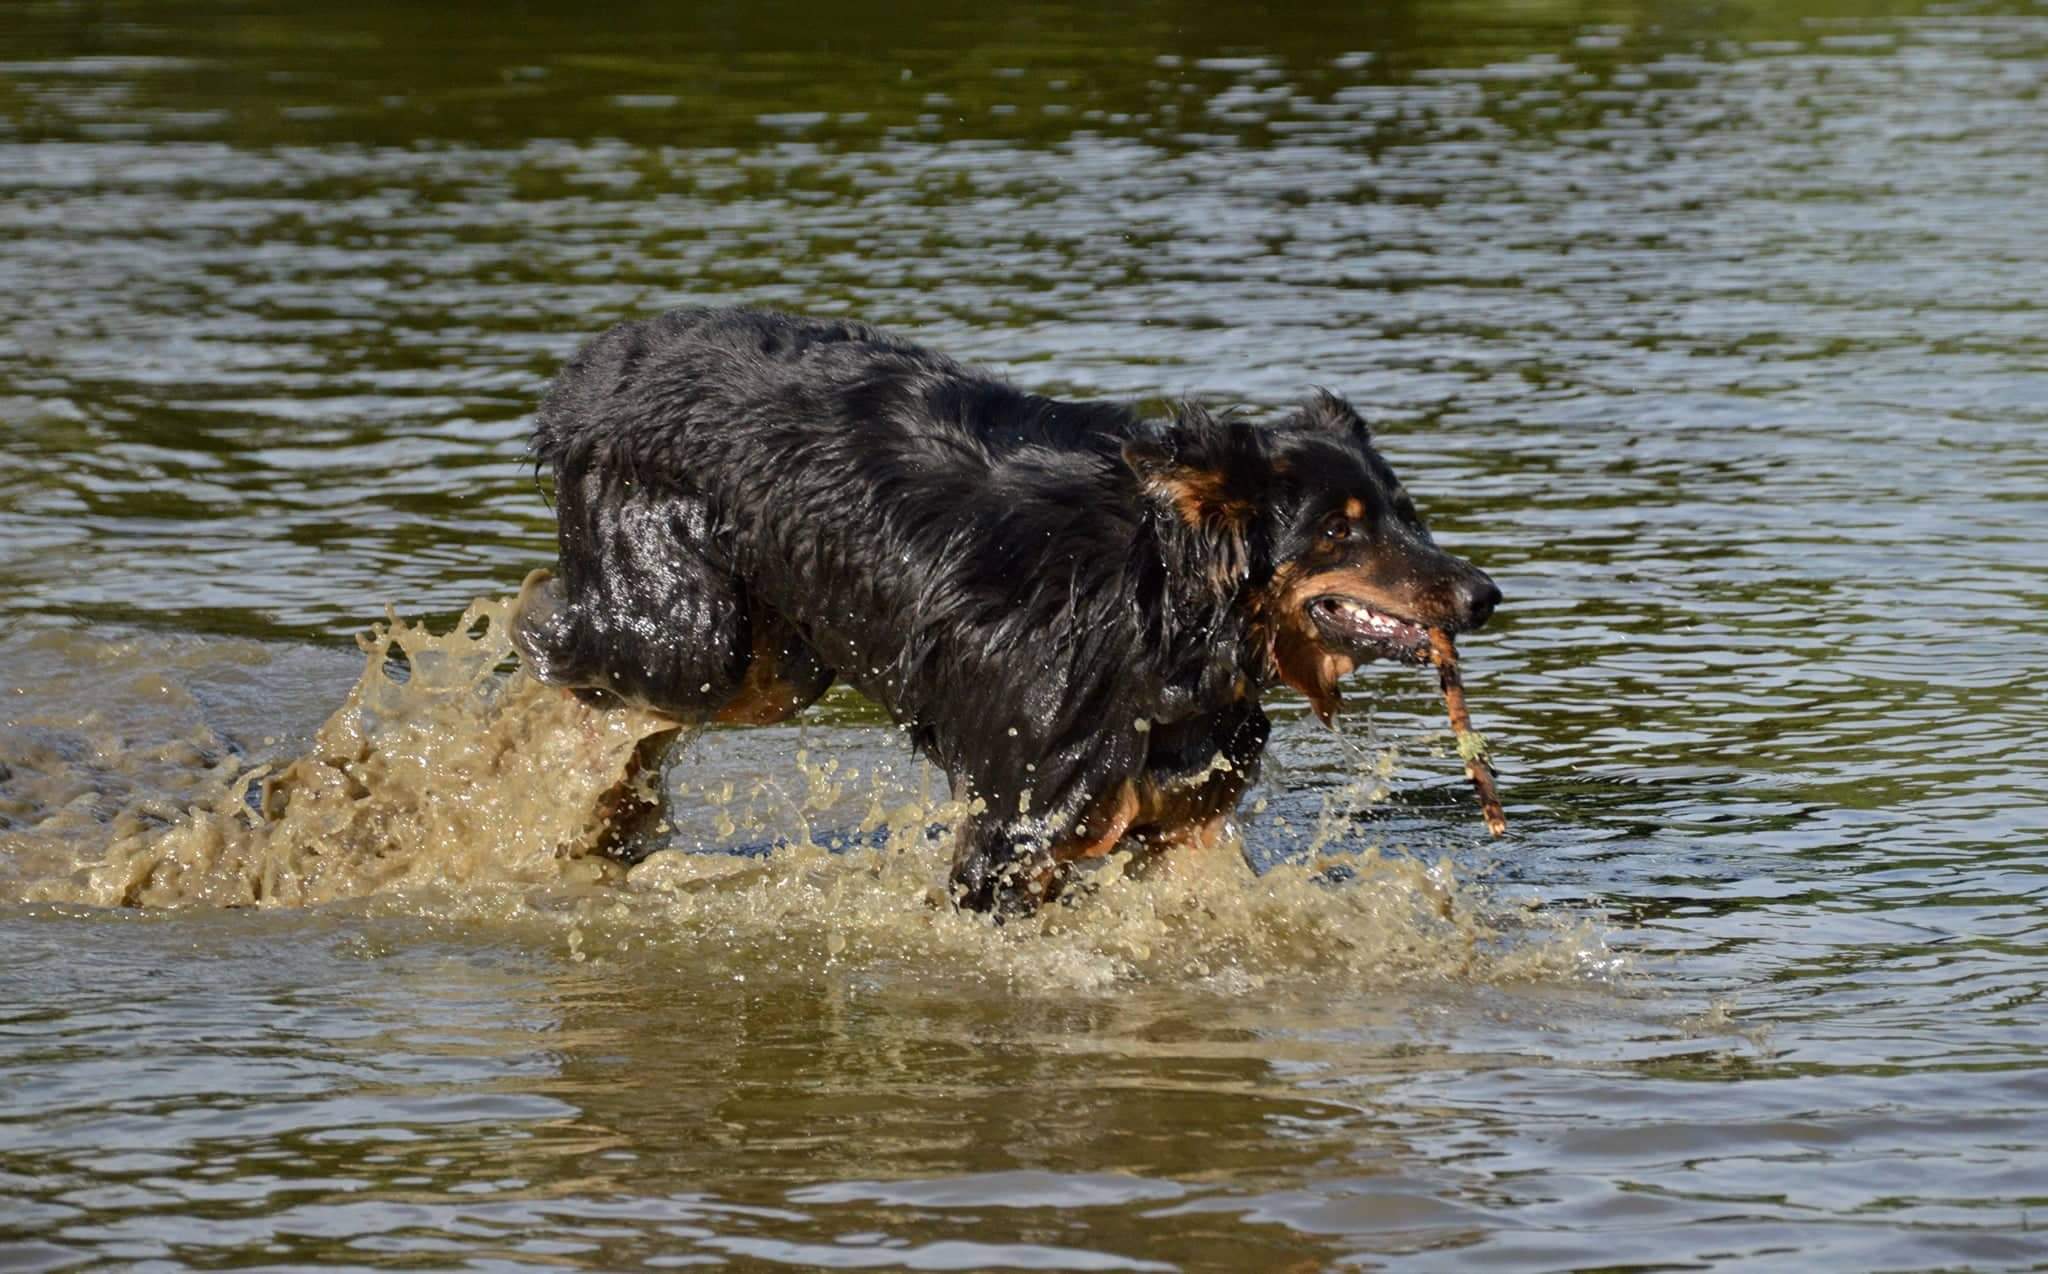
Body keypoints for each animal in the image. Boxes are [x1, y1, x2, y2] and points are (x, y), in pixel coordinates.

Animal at [512, 307, 1507, 917]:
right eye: (1340, 531)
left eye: (1406, 515)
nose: (1482, 596)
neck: (1164, 608)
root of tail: (590, 373)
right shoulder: (1015, 831)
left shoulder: (1187, 822)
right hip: (691, 632)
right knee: (552, 642)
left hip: (778, 660)